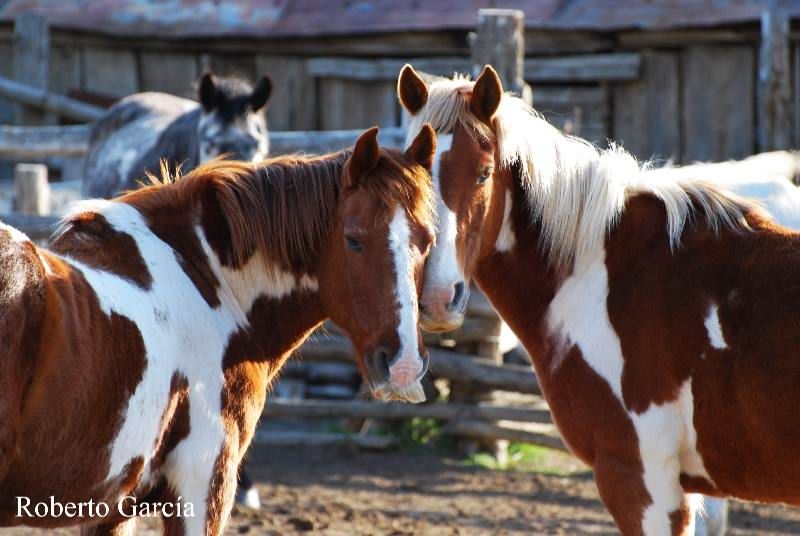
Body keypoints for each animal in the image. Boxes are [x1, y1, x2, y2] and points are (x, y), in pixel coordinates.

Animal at [0, 124, 438, 532]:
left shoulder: (113, 509)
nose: (402, 363)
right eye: (353, 240)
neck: (205, 277)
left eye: (429, 241)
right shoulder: (203, 483)